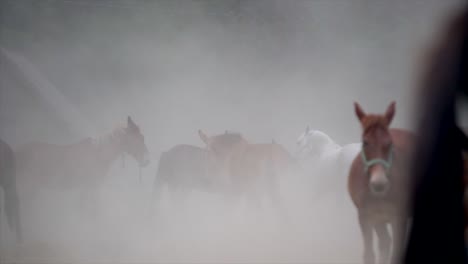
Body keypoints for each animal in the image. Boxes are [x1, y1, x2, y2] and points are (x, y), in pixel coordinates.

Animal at [15, 116, 149, 209]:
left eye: (142, 138)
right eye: (139, 139)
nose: (147, 161)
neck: (99, 154)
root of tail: (18, 151)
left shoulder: (87, 189)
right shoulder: (91, 188)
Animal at [348, 101, 414, 264]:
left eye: (389, 143)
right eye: (365, 143)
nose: (379, 183)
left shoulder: (399, 217)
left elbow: (396, 254)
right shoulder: (365, 217)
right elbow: (369, 255)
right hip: (379, 221)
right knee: (385, 243)